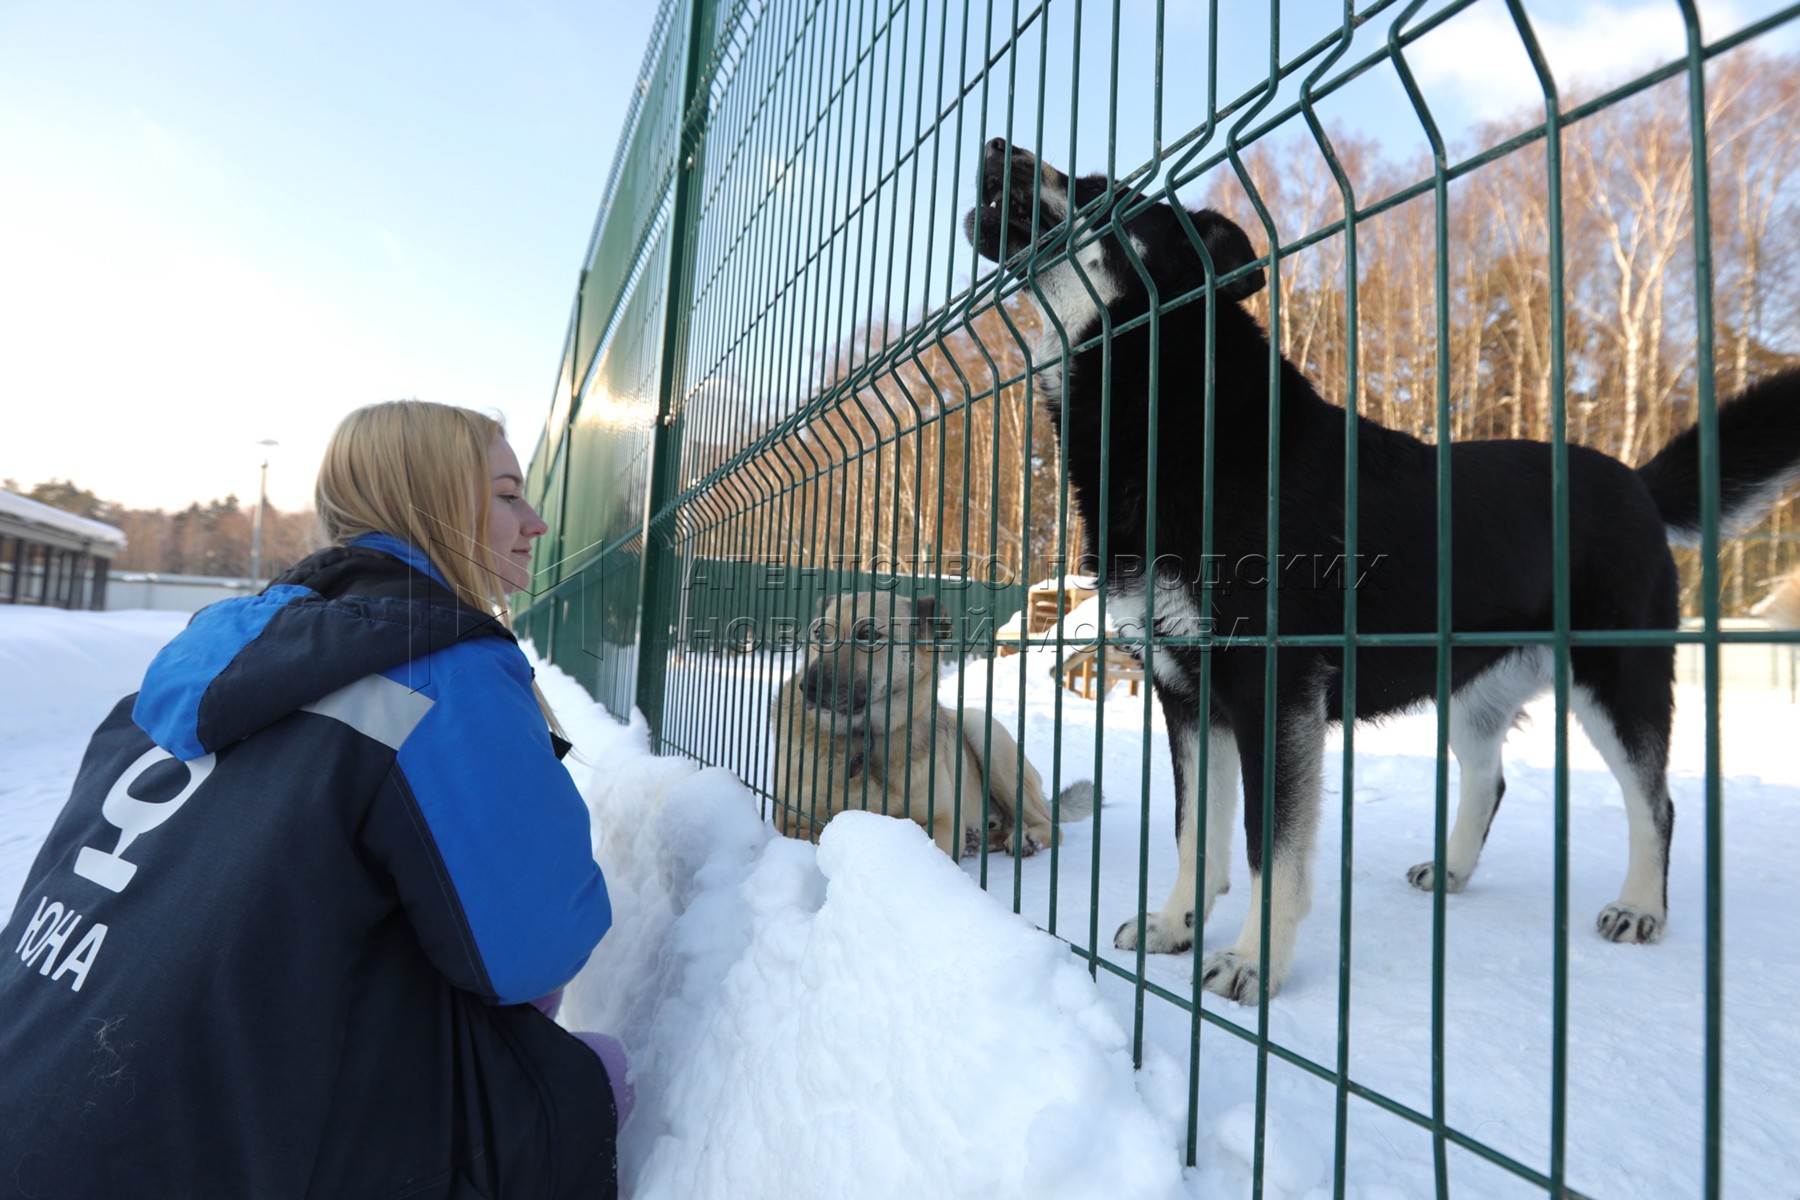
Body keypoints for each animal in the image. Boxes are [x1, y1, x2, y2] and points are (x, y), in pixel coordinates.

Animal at [766, 590, 1087, 852]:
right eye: (820, 634)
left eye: (868, 634)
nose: (808, 687)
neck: (866, 740)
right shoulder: (789, 819)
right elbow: (816, 832)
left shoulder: (942, 822)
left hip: (989, 737)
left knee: (1048, 824)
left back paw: (1025, 839)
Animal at [964, 138, 1800, 1007]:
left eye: (1107, 196)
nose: (998, 148)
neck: (1178, 421)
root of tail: (1637, 482)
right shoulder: (1188, 695)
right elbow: (1196, 832)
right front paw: (1174, 926)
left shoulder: (1275, 694)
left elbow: (1271, 850)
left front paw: (1254, 962)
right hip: (1472, 692)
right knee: (1491, 779)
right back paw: (1454, 870)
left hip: (1618, 679)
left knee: (1656, 802)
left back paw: (1640, 907)